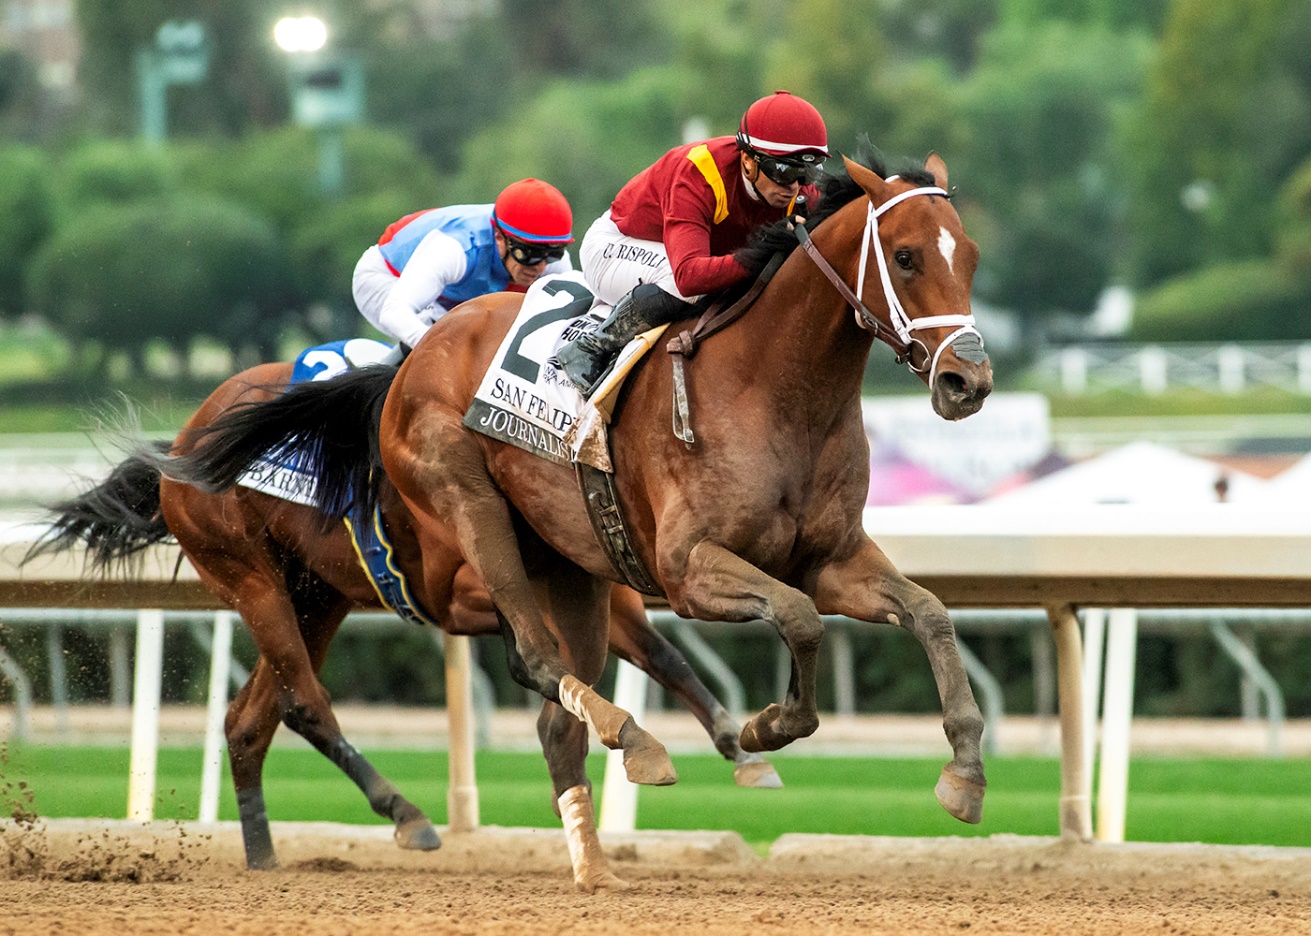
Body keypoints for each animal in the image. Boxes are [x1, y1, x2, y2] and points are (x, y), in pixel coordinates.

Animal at [29, 361, 780, 872]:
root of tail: (185, 439)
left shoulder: (590, 587)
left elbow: (662, 653)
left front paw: (738, 745)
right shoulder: (464, 586)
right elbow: (550, 648)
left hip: (318, 597)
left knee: (248, 721)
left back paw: (264, 854)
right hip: (249, 577)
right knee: (303, 703)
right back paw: (406, 814)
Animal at [153, 153, 994, 892]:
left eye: (972, 258)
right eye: (906, 257)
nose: (967, 381)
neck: (776, 388)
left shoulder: (830, 559)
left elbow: (927, 613)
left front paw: (962, 773)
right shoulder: (688, 570)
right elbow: (797, 619)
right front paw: (765, 728)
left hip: (407, 584)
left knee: (266, 719)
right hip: (360, 545)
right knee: (494, 665)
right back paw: (572, 761)